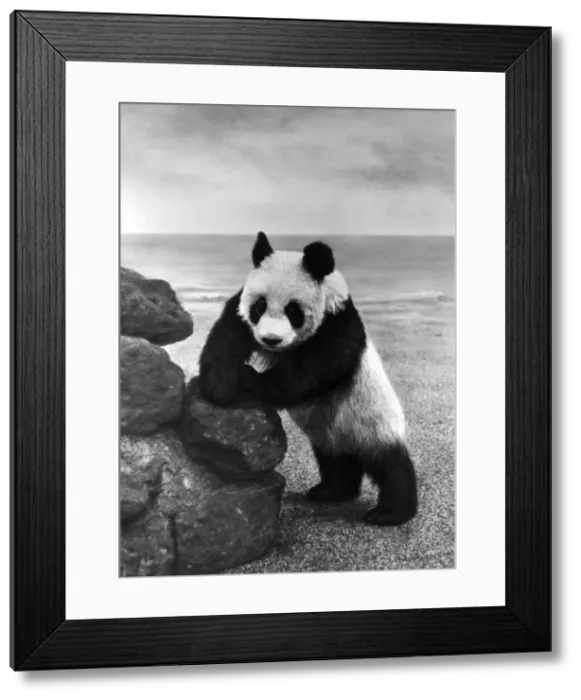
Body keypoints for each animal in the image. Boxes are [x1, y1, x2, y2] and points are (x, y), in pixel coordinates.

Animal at [197, 231, 418, 527]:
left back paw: (390, 512)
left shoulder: (337, 324)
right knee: (335, 462)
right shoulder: (241, 311)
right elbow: (227, 336)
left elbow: (308, 372)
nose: (270, 339)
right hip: (330, 434)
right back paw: (331, 491)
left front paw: (248, 377)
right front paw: (219, 386)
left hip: (373, 420)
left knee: (391, 465)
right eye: (259, 306)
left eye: (293, 311)